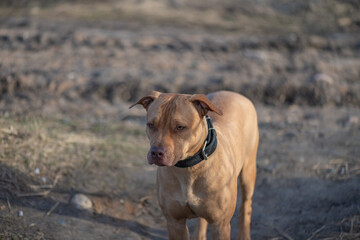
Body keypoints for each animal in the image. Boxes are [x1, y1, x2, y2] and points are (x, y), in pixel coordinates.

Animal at [131, 91, 258, 239]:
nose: (156, 152)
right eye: (151, 124)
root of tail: (233, 93)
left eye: (180, 127)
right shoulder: (175, 222)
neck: (188, 169)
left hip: (248, 173)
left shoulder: (220, 225)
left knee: (246, 205)